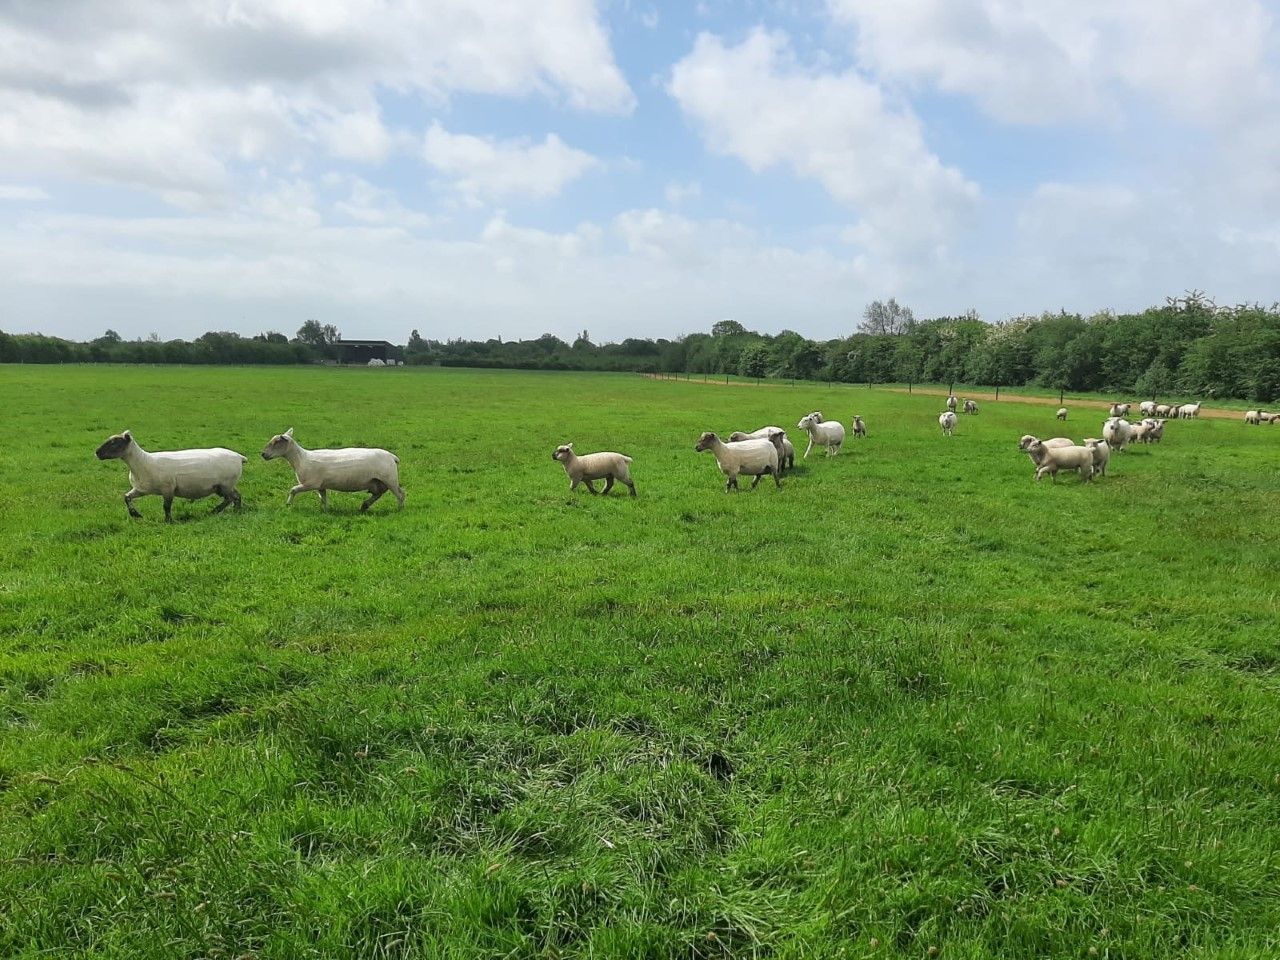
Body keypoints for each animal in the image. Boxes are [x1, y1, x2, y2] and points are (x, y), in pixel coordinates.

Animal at [95, 430, 246, 522]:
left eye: (114, 442)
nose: (97, 452)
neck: (142, 462)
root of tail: (239, 457)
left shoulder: (168, 489)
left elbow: (166, 506)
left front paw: (168, 521)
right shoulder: (141, 489)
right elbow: (126, 497)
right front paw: (135, 515)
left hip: (225, 484)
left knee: (233, 497)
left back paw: (225, 511)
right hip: (222, 486)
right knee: (234, 497)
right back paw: (227, 511)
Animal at [261, 428, 404, 511]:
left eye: (276, 442)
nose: (263, 454)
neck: (301, 458)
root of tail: (392, 457)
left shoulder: (311, 484)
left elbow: (293, 490)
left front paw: (288, 504)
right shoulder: (321, 486)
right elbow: (323, 498)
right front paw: (325, 511)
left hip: (389, 479)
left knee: (400, 494)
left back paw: (399, 509)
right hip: (377, 482)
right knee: (378, 494)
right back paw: (364, 506)